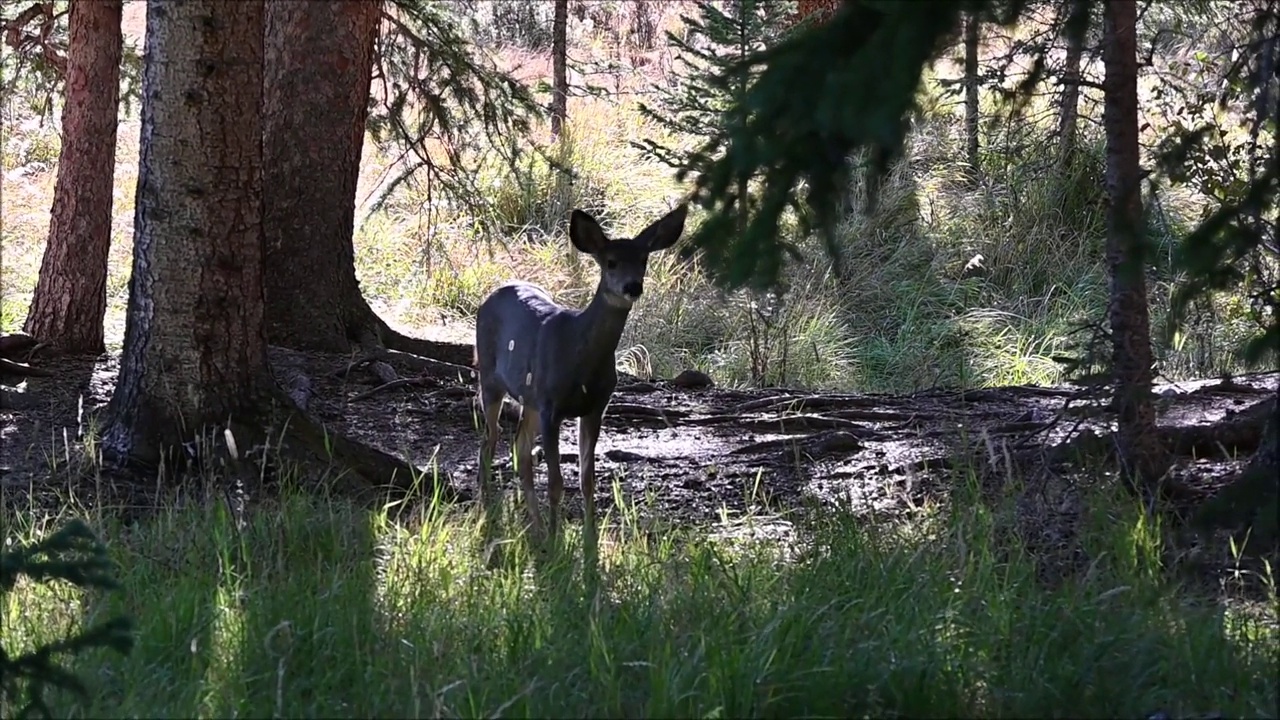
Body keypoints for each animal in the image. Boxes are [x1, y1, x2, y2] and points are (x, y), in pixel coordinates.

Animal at [473, 203, 691, 561]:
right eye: (611, 262)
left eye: (643, 260)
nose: (632, 287)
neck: (581, 360)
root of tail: (493, 293)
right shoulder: (552, 407)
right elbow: (556, 481)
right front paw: (556, 542)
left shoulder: (595, 406)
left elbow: (588, 480)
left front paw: (589, 546)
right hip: (491, 378)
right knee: (489, 441)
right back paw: (489, 511)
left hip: (530, 399)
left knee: (519, 448)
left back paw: (533, 527)